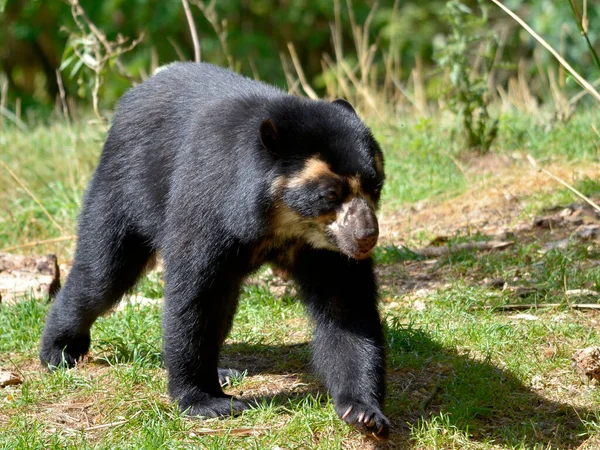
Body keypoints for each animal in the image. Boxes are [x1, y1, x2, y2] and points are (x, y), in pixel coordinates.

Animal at [41, 61, 390, 438]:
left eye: (375, 186)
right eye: (330, 194)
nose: (366, 236)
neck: (281, 224)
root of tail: (139, 89)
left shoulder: (327, 249)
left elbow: (346, 307)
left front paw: (363, 412)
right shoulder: (209, 201)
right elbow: (195, 297)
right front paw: (205, 401)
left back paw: (223, 371)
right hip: (123, 187)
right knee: (102, 274)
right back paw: (58, 352)